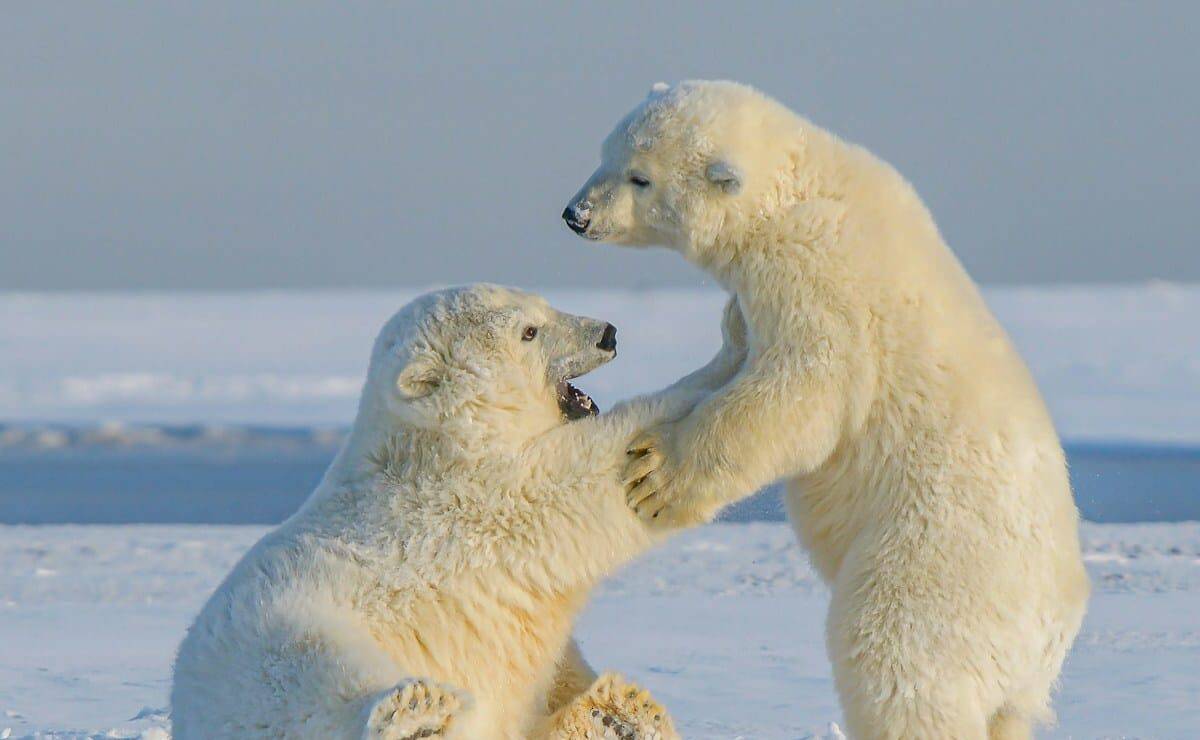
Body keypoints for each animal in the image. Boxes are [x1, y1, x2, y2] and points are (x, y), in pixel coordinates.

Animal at [169, 285, 722, 739]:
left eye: (544, 305)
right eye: (529, 331)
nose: (608, 333)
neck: (436, 441)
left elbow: (552, 670)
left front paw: (621, 712)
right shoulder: (473, 499)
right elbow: (582, 480)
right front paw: (723, 371)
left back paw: (620, 713)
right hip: (282, 633)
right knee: (317, 677)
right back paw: (417, 717)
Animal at [562, 80, 1089, 739]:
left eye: (640, 177)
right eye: (605, 153)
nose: (576, 215)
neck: (798, 187)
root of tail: (1049, 634)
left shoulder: (818, 280)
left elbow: (801, 389)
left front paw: (655, 475)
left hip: (936, 561)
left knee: (896, 656)